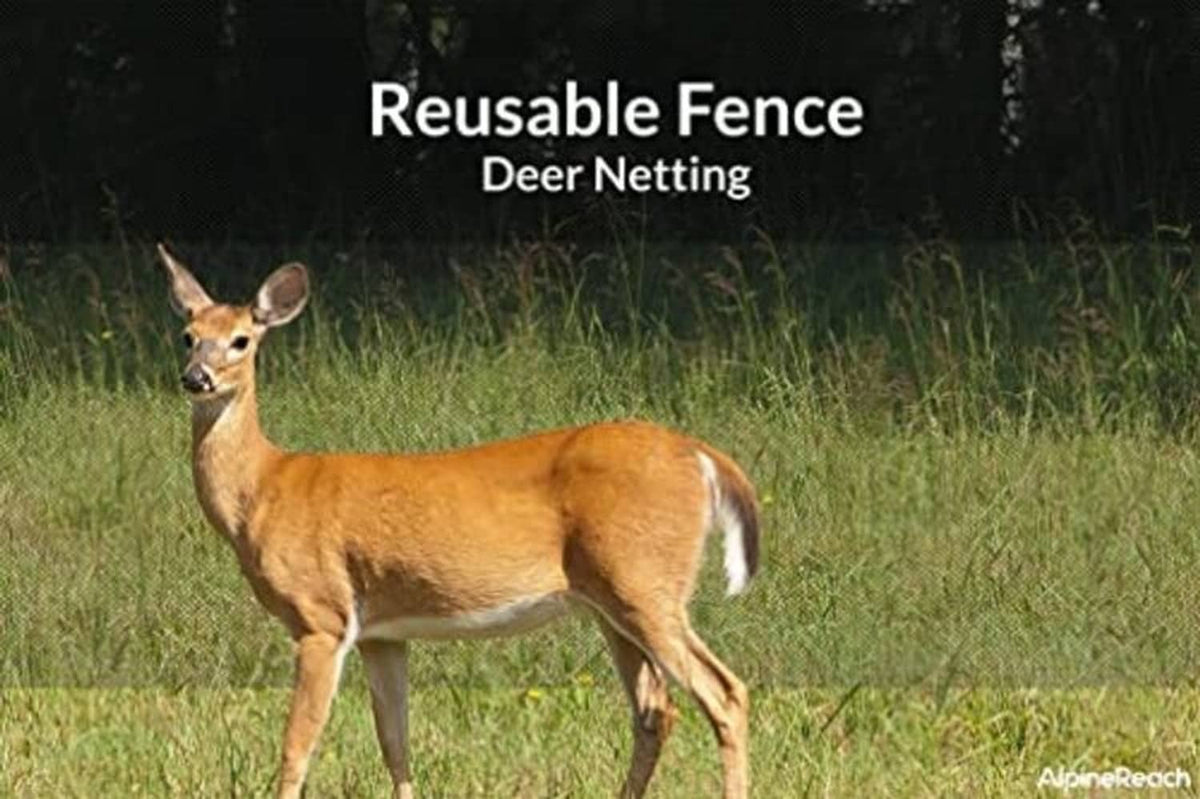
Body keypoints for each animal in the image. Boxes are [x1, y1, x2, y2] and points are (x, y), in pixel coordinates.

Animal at [158, 244, 762, 799]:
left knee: (724, 693)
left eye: (241, 339)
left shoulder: (321, 615)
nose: (196, 377)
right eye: (188, 335)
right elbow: (394, 742)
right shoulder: (381, 632)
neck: (263, 488)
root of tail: (702, 455)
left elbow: (297, 745)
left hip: (643, 580)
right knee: (655, 709)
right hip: (610, 600)